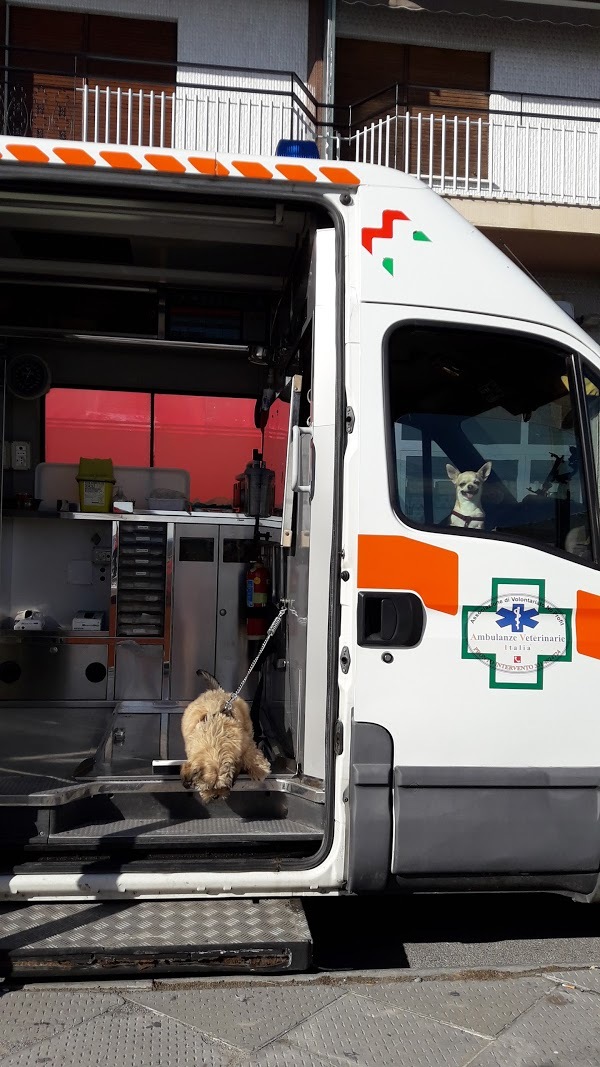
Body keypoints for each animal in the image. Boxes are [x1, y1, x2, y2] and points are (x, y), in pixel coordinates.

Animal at [178, 665, 270, 802]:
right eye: (207, 788)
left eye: (223, 787)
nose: (215, 796)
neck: (214, 744)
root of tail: (217, 691)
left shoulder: (244, 742)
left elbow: (250, 754)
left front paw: (259, 770)